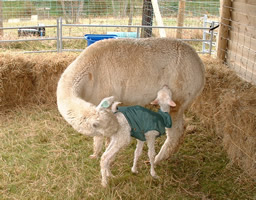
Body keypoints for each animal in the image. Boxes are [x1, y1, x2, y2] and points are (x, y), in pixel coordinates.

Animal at [57, 37, 205, 167]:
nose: (120, 134)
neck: (90, 75)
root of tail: (200, 65)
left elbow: (100, 139)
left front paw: (104, 154)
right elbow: (98, 138)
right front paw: (95, 154)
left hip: (179, 96)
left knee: (175, 131)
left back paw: (157, 159)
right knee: (182, 127)